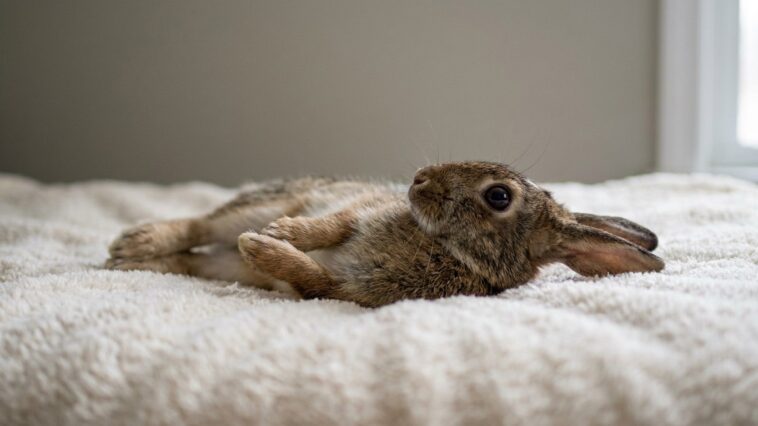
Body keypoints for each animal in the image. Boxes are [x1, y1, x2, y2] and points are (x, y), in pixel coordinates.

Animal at [106, 161, 664, 307]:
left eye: (499, 197)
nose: (419, 178)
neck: (448, 248)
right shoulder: (361, 212)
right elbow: (330, 225)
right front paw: (279, 233)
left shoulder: (347, 291)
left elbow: (311, 277)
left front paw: (264, 246)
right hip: (262, 202)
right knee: (200, 224)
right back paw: (134, 241)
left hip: (223, 265)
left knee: (195, 258)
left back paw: (133, 259)